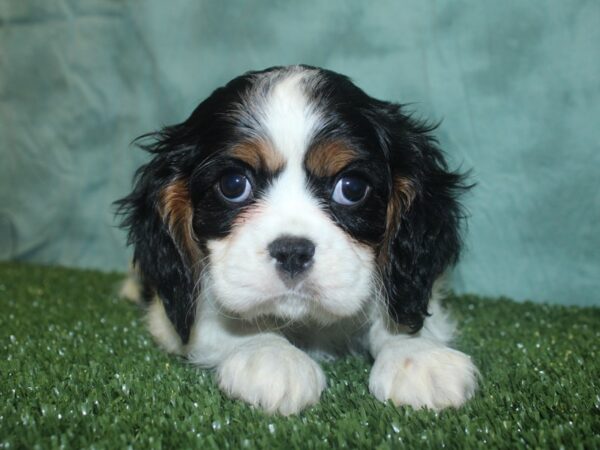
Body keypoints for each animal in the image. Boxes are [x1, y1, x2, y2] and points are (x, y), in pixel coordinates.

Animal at [117, 64, 478, 414]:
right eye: (233, 184)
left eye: (352, 188)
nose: (292, 252)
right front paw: (272, 357)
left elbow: (400, 312)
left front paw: (417, 354)